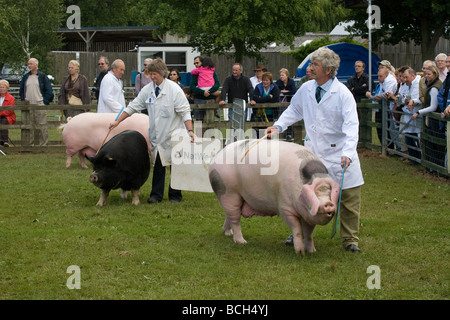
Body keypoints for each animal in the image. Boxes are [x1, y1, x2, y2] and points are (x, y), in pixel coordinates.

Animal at [209, 139, 340, 256]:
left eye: (329, 192)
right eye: (315, 194)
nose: (328, 204)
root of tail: (217, 156)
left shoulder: (308, 216)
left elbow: (308, 234)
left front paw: (313, 251)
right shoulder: (284, 207)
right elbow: (297, 229)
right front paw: (300, 253)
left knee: (229, 216)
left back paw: (228, 233)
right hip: (228, 192)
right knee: (235, 219)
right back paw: (242, 242)